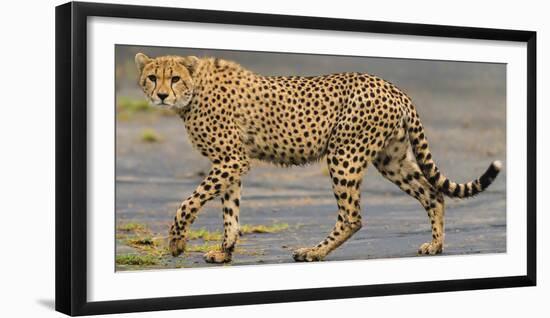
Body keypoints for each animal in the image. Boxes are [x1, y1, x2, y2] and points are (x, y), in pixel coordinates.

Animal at [135, 52, 504, 264]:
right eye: (152, 77)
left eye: (174, 78)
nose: (162, 94)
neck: (194, 90)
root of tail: (392, 87)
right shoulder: (231, 163)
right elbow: (230, 211)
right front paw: (225, 251)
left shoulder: (231, 160)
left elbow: (189, 202)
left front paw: (177, 243)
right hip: (391, 159)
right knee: (432, 193)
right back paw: (435, 246)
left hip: (344, 154)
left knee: (352, 216)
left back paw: (313, 251)